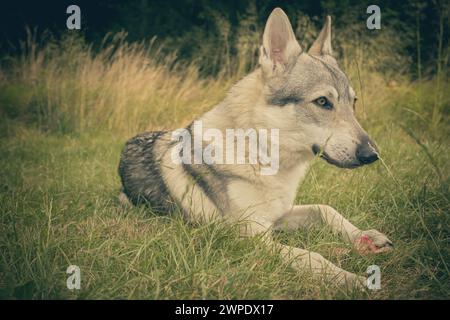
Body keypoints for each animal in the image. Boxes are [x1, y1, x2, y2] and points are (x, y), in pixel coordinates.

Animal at [118, 8, 394, 290]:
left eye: (353, 102)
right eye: (322, 102)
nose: (373, 155)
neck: (262, 159)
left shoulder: (280, 216)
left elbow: (326, 209)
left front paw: (365, 235)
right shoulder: (252, 237)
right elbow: (311, 256)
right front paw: (352, 279)